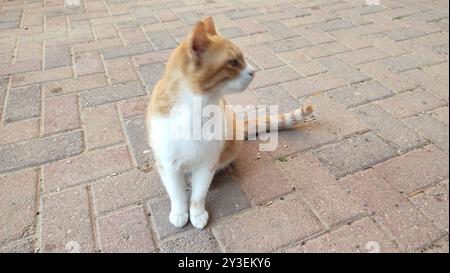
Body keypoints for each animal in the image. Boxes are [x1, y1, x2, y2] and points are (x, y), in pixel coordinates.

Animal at [148, 17, 312, 228]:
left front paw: (197, 214)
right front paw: (179, 212)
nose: (253, 71)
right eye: (233, 62)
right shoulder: (168, 164)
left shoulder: (207, 163)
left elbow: (198, 195)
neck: (196, 107)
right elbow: (176, 194)